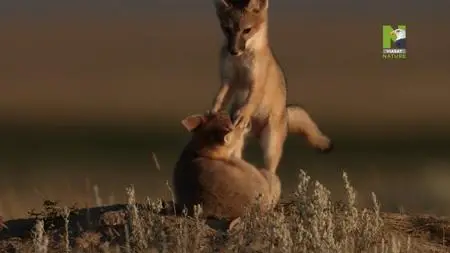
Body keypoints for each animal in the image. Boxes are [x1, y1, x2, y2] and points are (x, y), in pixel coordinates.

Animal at [209, 0, 332, 173]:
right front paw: (213, 112)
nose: (233, 50)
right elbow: (219, 99)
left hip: (270, 147)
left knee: (271, 172)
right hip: (237, 142)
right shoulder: (228, 80)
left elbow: (251, 100)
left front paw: (243, 114)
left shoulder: (257, 82)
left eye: (247, 30)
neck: (241, 60)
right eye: (227, 29)